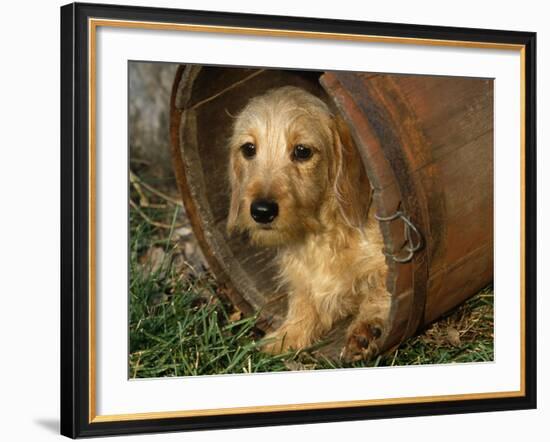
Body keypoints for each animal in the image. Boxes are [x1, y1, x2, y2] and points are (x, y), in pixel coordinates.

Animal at [226, 86, 390, 362]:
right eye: (248, 149)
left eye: (302, 151)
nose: (261, 211)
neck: (321, 236)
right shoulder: (305, 282)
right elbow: (304, 304)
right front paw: (284, 338)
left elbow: (380, 288)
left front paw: (368, 328)